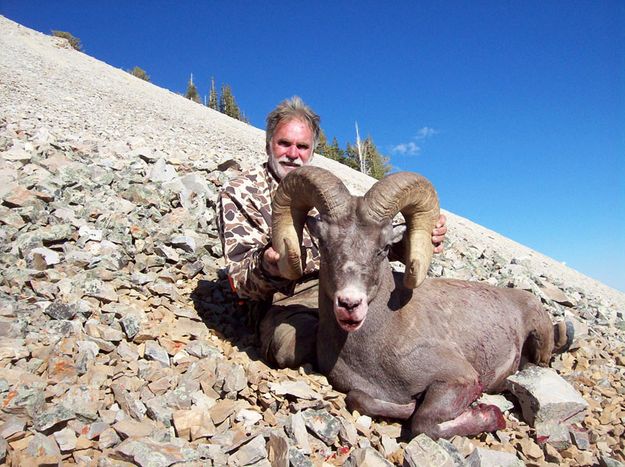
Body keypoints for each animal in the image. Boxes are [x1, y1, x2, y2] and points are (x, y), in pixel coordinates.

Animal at [270, 166, 568, 440]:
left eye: (383, 249)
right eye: (324, 244)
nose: (349, 304)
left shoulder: (459, 378)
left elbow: (423, 422)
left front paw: (490, 415)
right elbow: (360, 399)